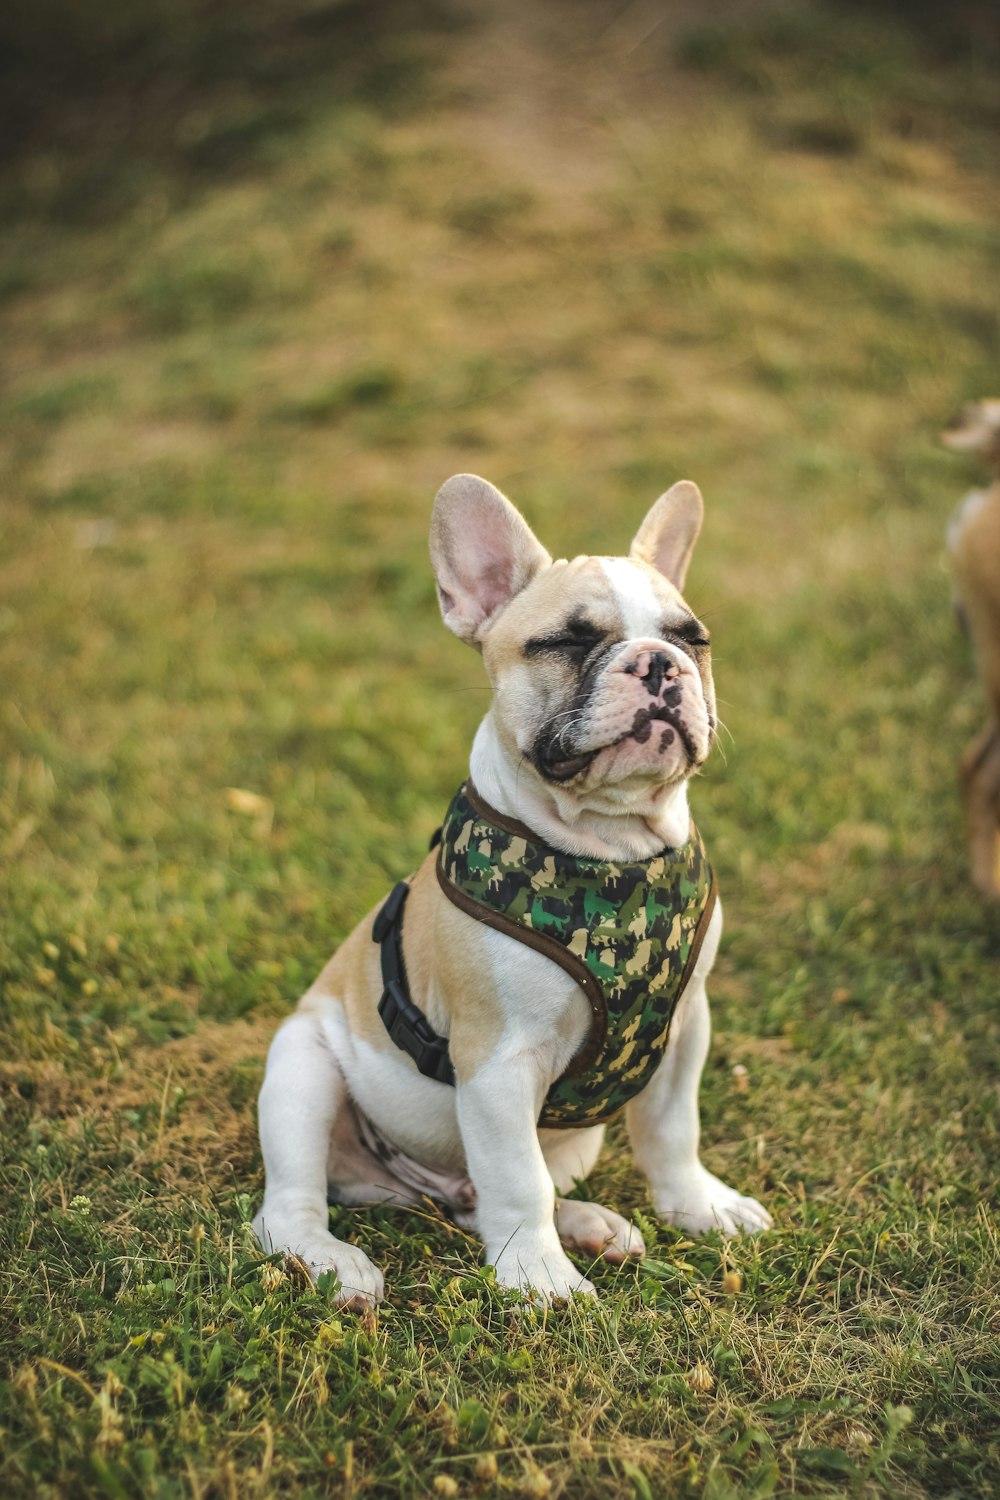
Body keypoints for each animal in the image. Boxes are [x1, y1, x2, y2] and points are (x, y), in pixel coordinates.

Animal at [254, 474, 773, 1308]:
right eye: (566, 642)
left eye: (692, 637)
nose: (660, 664)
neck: (613, 848)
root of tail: (418, 1187)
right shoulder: (499, 1063)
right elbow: (516, 1177)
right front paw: (540, 1279)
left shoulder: (686, 1028)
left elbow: (672, 1131)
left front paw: (699, 1207)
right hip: (301, 1069)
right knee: (291, 1207)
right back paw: (336, 1260)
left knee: (485, 1199)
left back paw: (589, 1224)